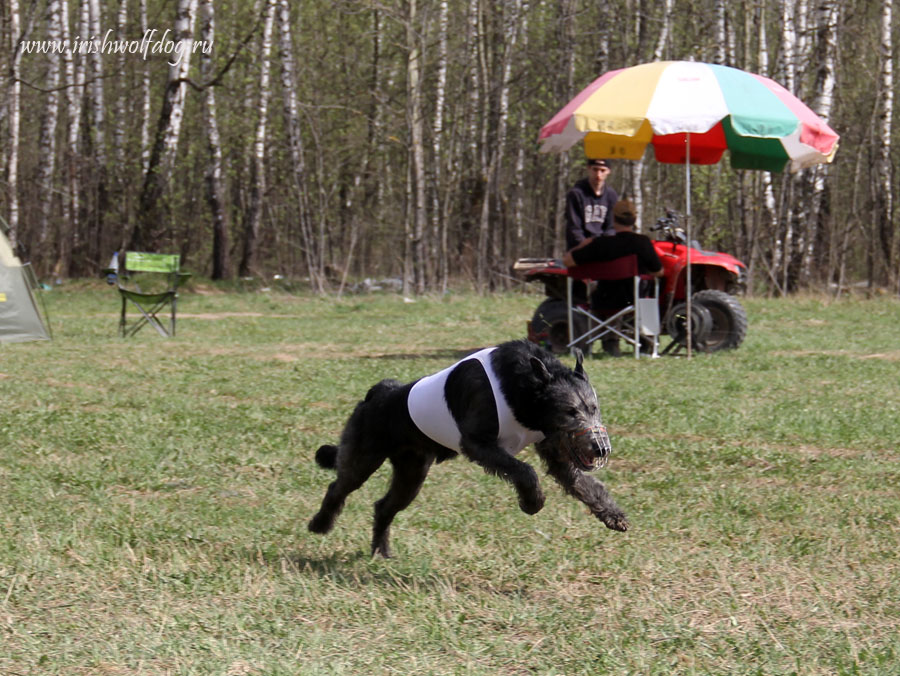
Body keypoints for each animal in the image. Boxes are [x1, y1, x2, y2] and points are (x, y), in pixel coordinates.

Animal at [308, 340, 624, 556]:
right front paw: (531, 502)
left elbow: (582, 482)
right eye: (570, 412)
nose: (601, 449)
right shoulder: (477, 442)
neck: (524, 388)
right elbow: (524, 470)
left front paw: (613, 514)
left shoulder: (554, 447)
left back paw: (380, 551)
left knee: (385, 505)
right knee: (340, 485)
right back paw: (319, 524)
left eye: (594, 408)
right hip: (364, 453)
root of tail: (377, 393)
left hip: (412, 470)